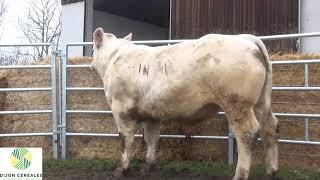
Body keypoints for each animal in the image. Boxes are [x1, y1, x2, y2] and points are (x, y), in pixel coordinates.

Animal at [91, 27, 278, 180]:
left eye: (93, 47)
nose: (91, 64)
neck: (115, 56)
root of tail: (246, 39)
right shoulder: (152, 114)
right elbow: (152, 138)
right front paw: (148, 166)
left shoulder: (121, 109)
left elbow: (126, 139)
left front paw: (121, 169)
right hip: (261, 102)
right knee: (269, 127)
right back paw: (271, 172)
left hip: (237, 104)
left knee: (247, 133)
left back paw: (240, 175)